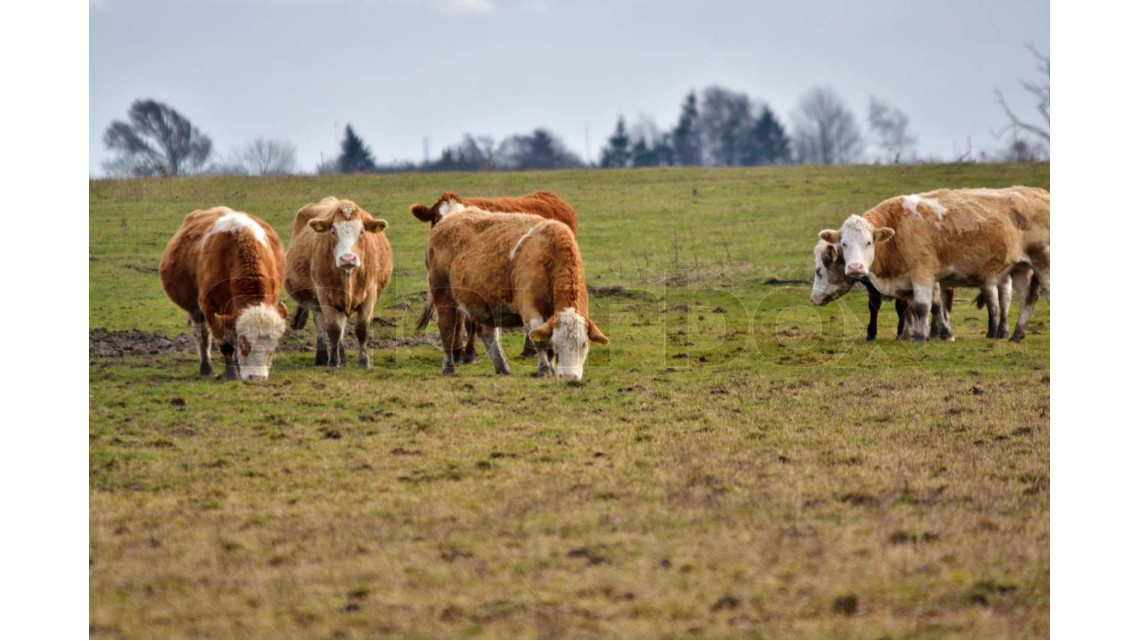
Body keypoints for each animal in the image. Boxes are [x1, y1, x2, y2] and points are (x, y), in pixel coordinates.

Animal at [158, 207, 287, 380]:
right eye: (243, 343)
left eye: (272, 348)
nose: (256, 378)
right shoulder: (211, 308)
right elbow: (225, 344)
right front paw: (231, 374)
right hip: (195, 310)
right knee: (202, 336)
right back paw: (205, 368)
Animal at [283, 195, 392, 367]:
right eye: (333, 231)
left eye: (361, 231)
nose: (347, 258)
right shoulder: (324, 294)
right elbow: (333, 328)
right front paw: (334, 362)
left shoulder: (370, 292)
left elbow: (361, 328)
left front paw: (364, 362)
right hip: (315, 301)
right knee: (321, 324)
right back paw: (322, 357)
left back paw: (343, 358)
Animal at [410, 188, 579, 360]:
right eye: (436, 218)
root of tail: (551, 197)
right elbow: (457, 319)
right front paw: (456, 351)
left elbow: (470, 322)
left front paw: (469, 353)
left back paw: (529, 349)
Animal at [426, 205, 606, 378]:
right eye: (557, 343)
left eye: (584, 344)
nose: (569, 376)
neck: (550, 253)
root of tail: (445, 221)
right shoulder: (530, 309)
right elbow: (540, 341)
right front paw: (544, 370)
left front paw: (550, 368)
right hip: (443, 294)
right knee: (447, 329)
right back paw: (449, 368)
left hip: (484, 301)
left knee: (487, 333)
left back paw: (503, 368)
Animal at [820, 187, 1048, 342]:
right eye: (844, 243)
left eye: (869, 242)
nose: (855, 268)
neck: (899, 228)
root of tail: (1041, 194)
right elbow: (914, 308)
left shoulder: (923, 274)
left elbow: (922, 307)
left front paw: (921, 338)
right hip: (1020, 268)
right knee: (1027, 298)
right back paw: (1017, 334)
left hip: (1043, 263)